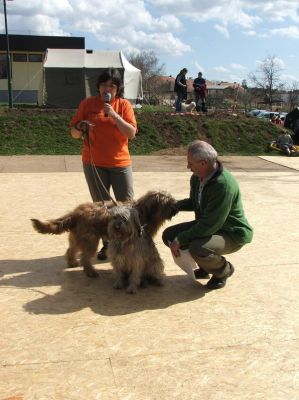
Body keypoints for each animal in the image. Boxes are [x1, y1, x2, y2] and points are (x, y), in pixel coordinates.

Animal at [31, 191, 179, 278]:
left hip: (77, 237)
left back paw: (72, 262)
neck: (144, 210)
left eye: (172, 200)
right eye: (168, 202)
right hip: (90, 239)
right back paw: (90, 272)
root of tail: (74, 213)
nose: (176, 208)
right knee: (85, 258)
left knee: (71, 250)